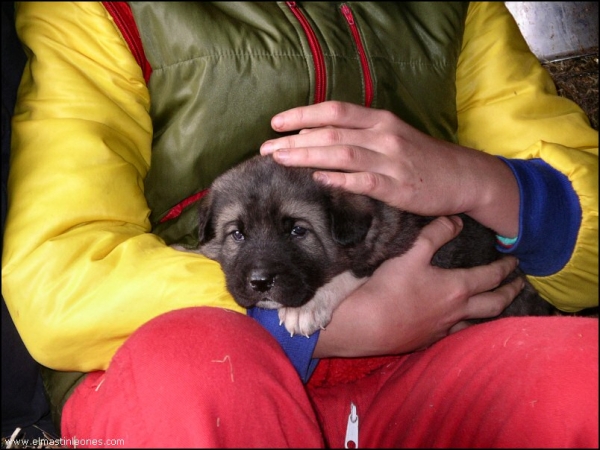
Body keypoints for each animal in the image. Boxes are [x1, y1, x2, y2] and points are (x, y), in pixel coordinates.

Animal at [176, 154, 556, 334]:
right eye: (237, 234)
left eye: (298, 231)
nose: (260, 282)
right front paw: (187, 250)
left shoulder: (392, 244)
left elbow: (350, 274)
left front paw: (305, 309)